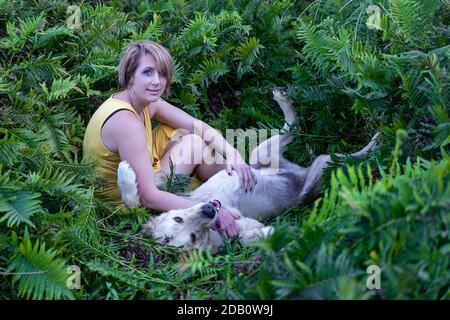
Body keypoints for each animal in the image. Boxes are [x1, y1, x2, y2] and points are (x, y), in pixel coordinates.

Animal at [118, 89, 378, 251]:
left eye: (178, 218)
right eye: (193, 237)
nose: (209, 210)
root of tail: (298, 170)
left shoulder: (173, 190)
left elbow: (148, 189)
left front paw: (126, 174)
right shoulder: (247, 230)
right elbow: (266, 235)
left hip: (259, 155)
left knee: (293, 129)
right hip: (319, 172)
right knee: (338, 158)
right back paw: (374, 144)